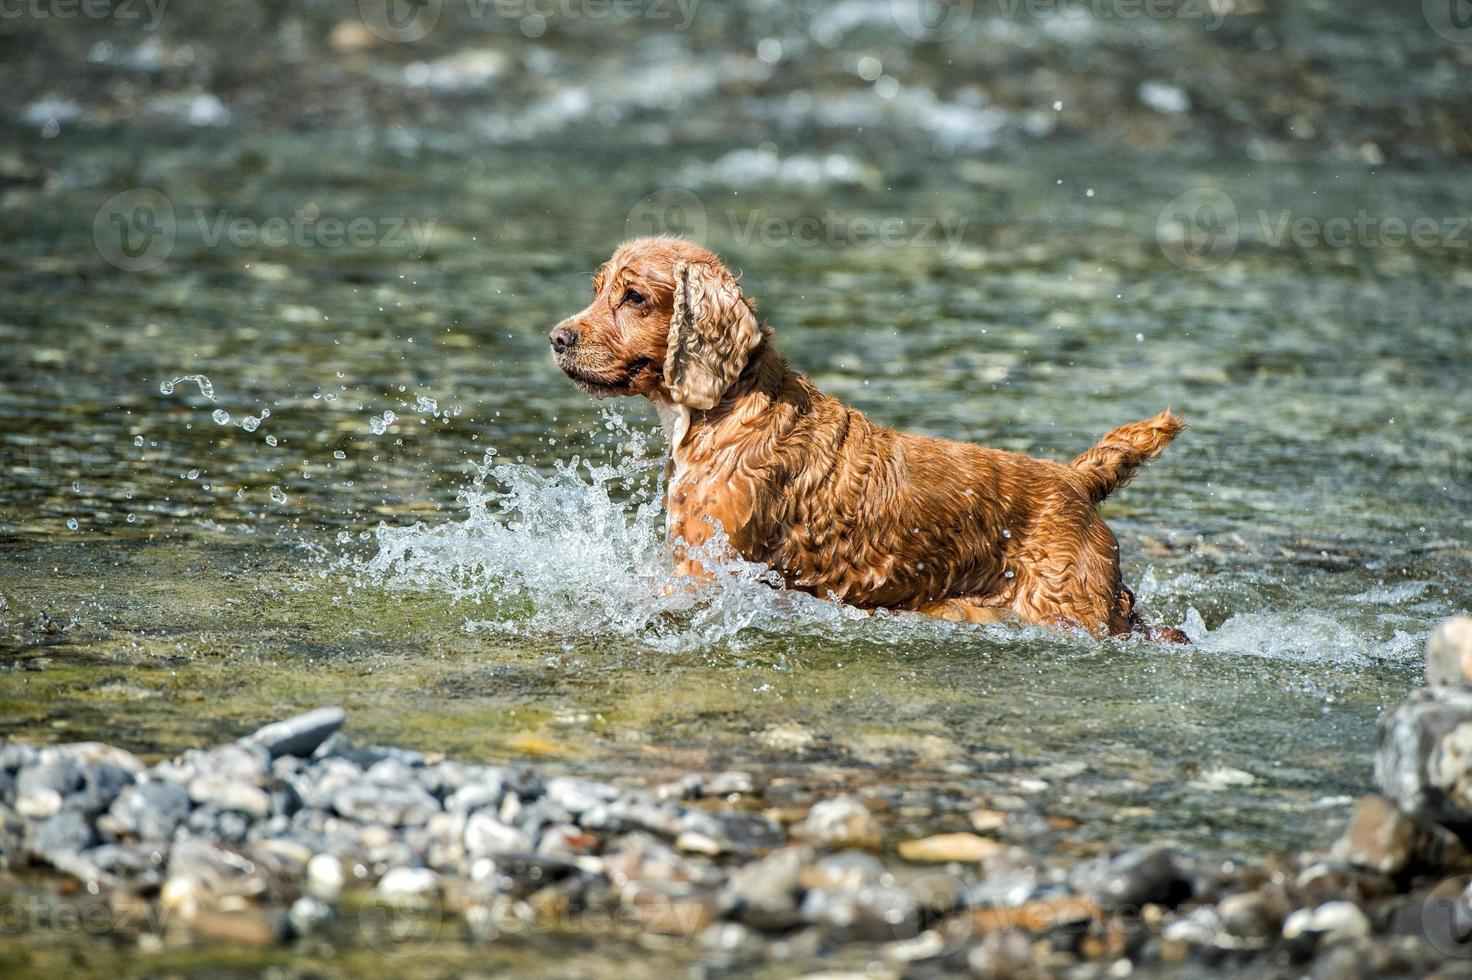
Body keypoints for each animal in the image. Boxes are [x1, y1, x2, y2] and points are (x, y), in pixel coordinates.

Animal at [550, 235, 1183, 632]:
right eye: (598, 288)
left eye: (634, 296)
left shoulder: (702, 566)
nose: (557, 337)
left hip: (1069, 606)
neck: (723, 410)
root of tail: (1074, 480)